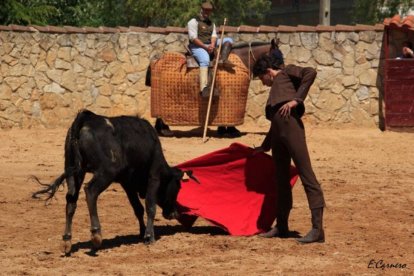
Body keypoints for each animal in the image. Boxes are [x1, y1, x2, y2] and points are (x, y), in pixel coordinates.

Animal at [33, 110, 198, 254]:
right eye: (177, 187)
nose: (174, 213)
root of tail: (85, 119)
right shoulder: (154, 176)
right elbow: (150, 206)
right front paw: (149, 236)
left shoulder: (127, 183)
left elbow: (137, 208)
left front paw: (142, 232)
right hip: (106, 172)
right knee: (90, 191)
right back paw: (96, 235)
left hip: (74, 170)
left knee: (71, 199)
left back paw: (67, 241)